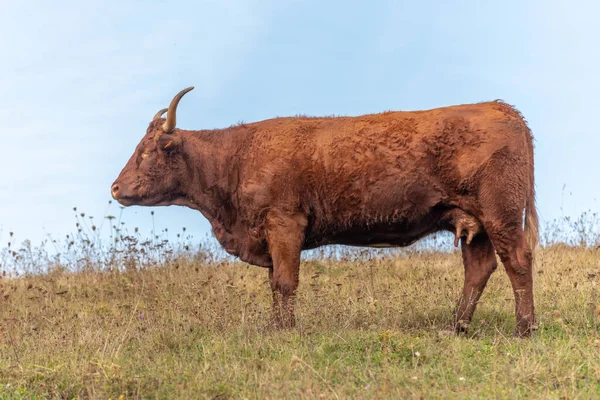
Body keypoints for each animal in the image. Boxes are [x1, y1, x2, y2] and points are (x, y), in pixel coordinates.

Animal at [111, 86, 540, 336]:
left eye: (147, 151)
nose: (115, 188)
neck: (235, 159)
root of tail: (501, 108)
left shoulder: (285, 223)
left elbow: (285, 283)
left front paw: (285, 332)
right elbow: (275, 284)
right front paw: (275, 327)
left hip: (500, 214)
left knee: (517, 260)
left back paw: (524, 328)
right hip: (473, 223)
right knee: (479, 269)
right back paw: (455, 326)